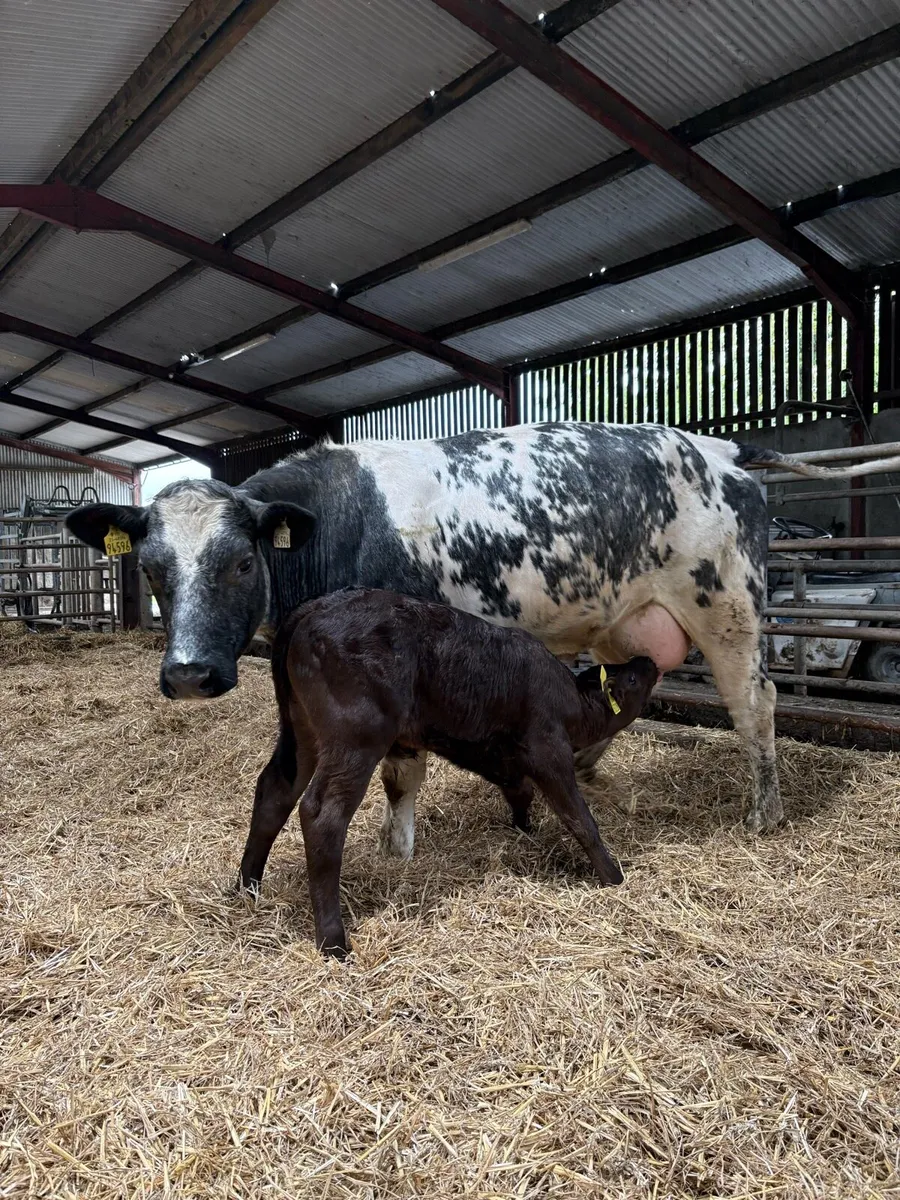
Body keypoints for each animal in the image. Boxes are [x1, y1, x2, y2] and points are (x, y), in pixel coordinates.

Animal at [66, 422, 900, 838]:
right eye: (151, 567)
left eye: (242, 561)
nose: (188, 674)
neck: (341, 524)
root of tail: (718, 448)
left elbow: (400, 776)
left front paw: (397, 852)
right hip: (624, 616)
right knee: (629, 687)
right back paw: (586, 765)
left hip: (728, 606)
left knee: (755, 707)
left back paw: (765, 815)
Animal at [239, 587, 658, 956]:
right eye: (632, 679)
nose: (648, 660)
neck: (571, 700)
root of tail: (315, 606)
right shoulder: (548, 747)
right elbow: (579, 817)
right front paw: (612, 874)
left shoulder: (502, 755)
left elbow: (520, 792)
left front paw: (525, 828)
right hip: (356, 737)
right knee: (322, 814)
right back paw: (333, 942)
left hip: (301, 730)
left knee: (275, 789)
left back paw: (248, 885)